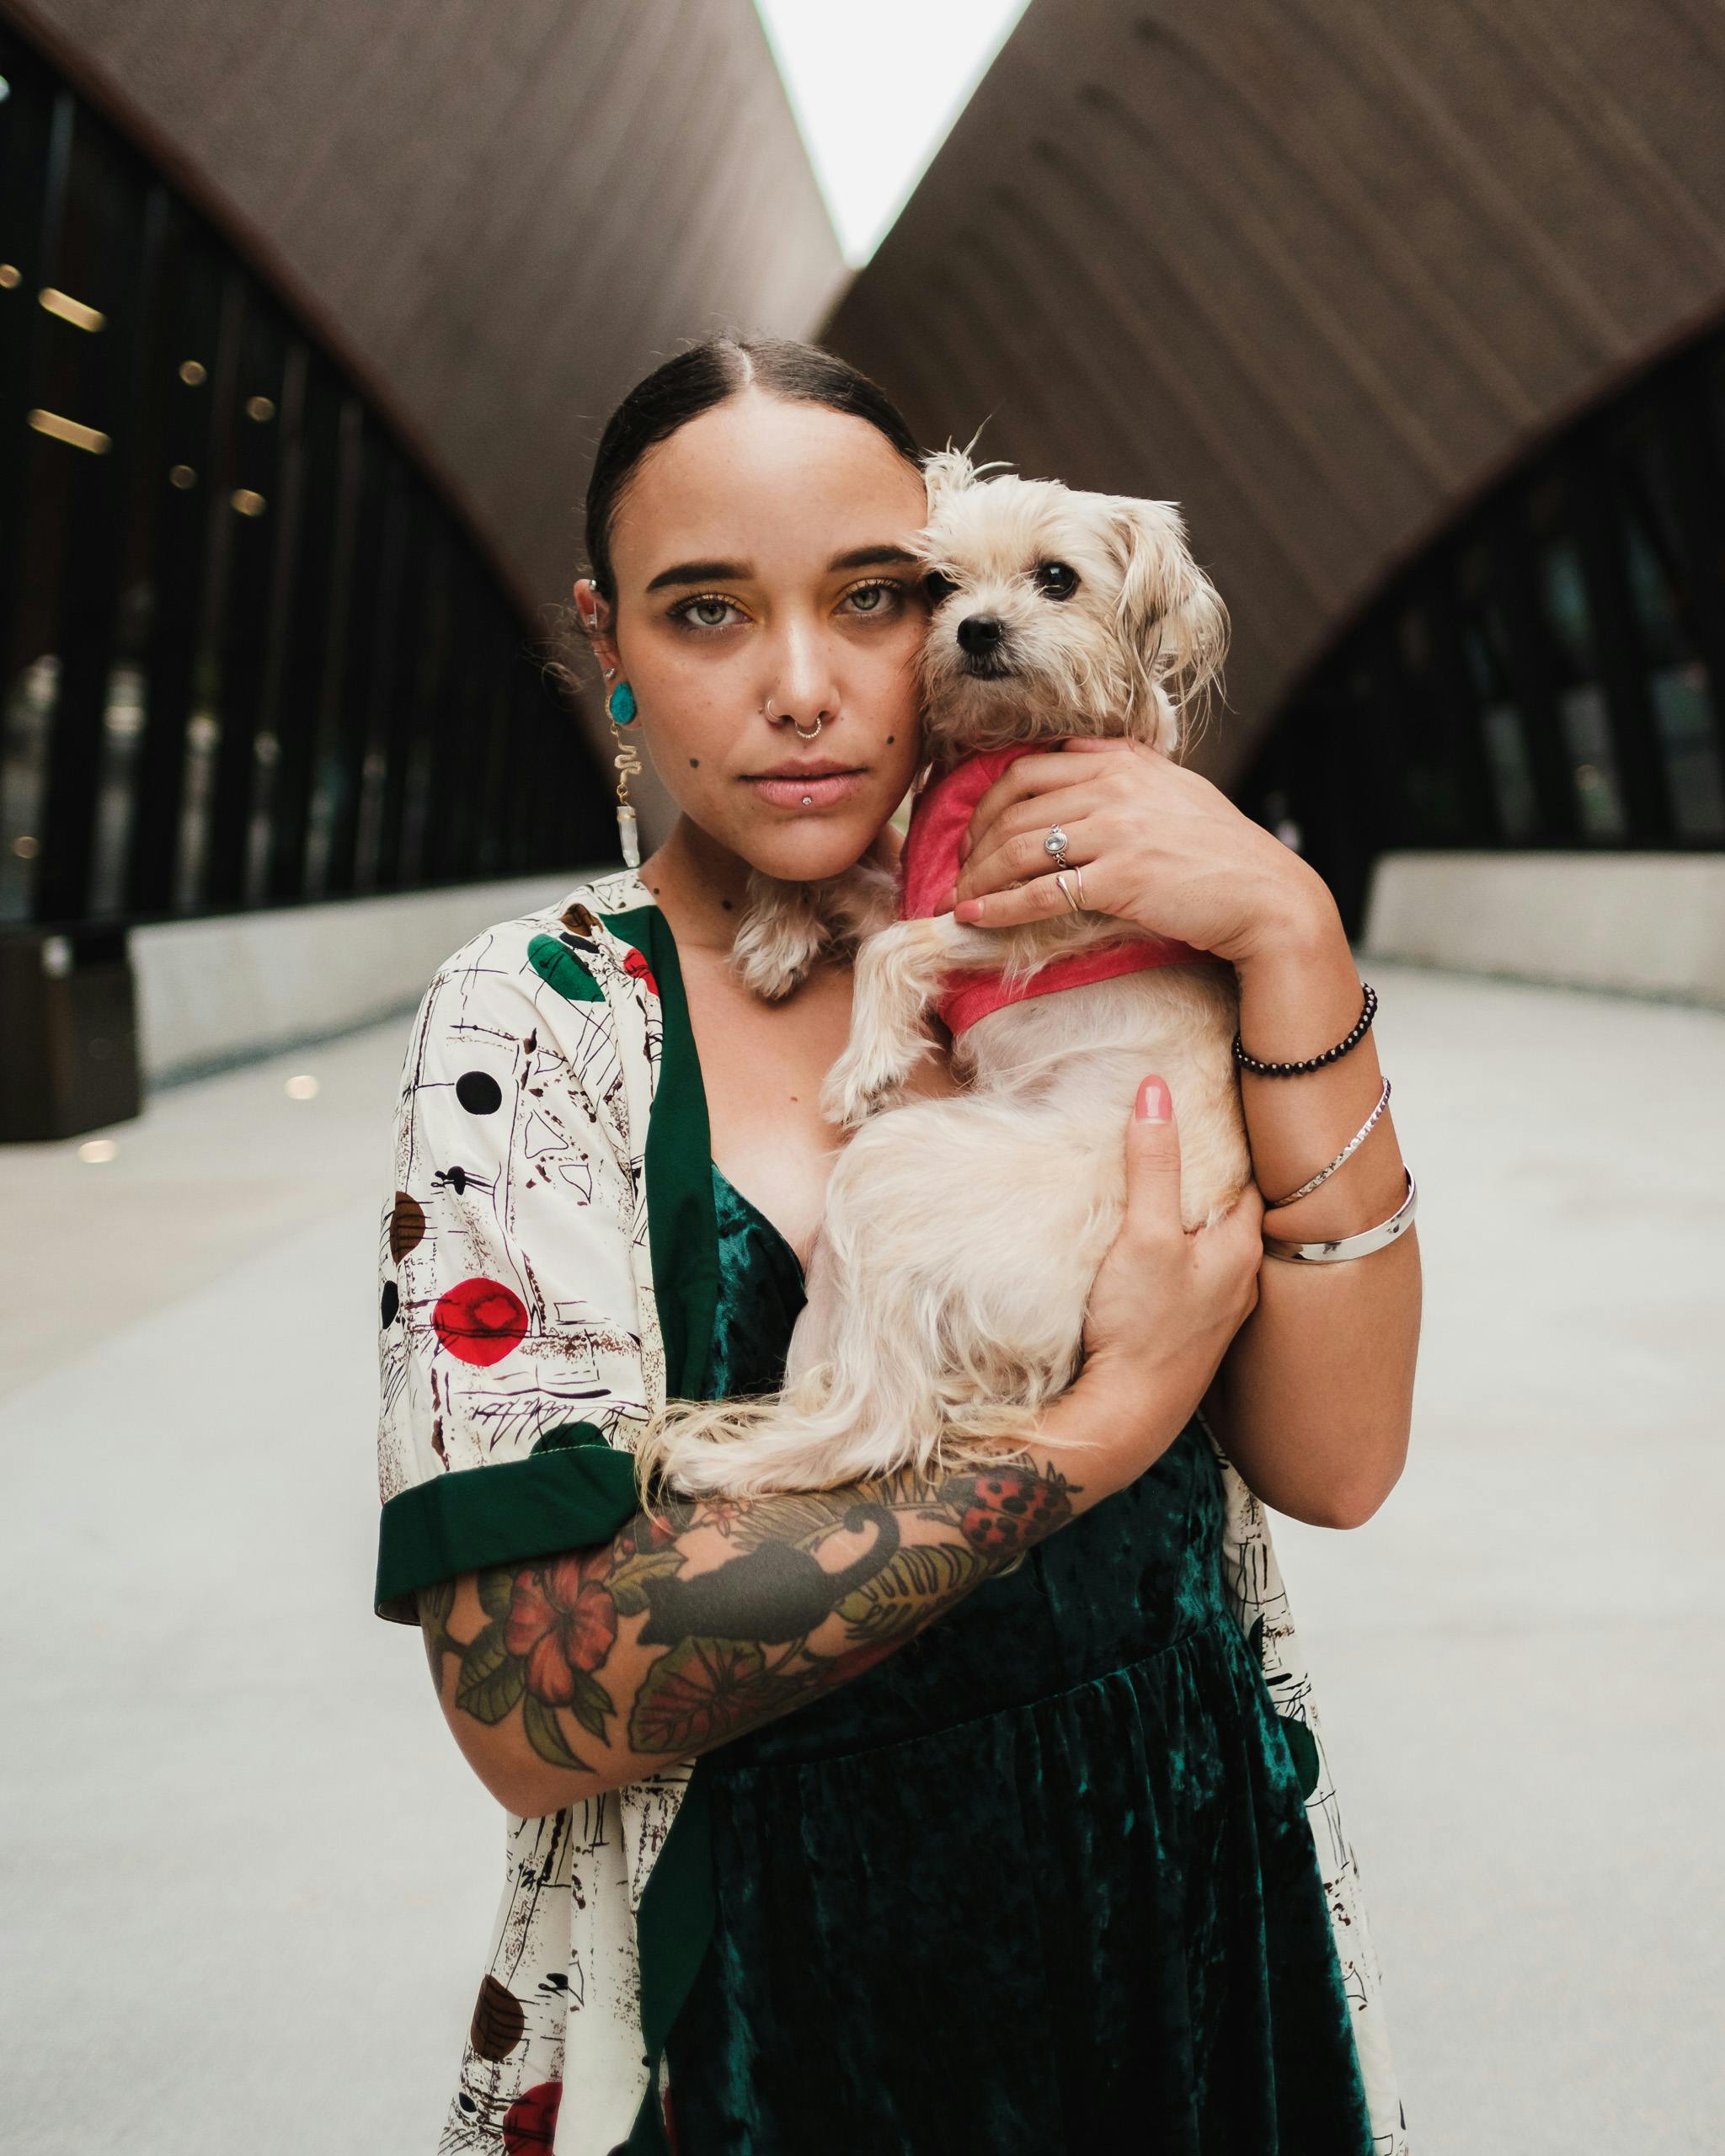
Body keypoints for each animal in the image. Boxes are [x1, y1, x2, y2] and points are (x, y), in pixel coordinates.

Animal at [638, 451, 1259, 1500]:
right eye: (938, 585)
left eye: (1055, 578)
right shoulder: (916, 882)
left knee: (880, 1420)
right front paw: (774, 937)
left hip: (892, 1169)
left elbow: (896, 947)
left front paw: (862, 1063)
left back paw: (722, 1458)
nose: (975, 628)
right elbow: (829, 872)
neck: (1003, 747)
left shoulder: (1040, 911)